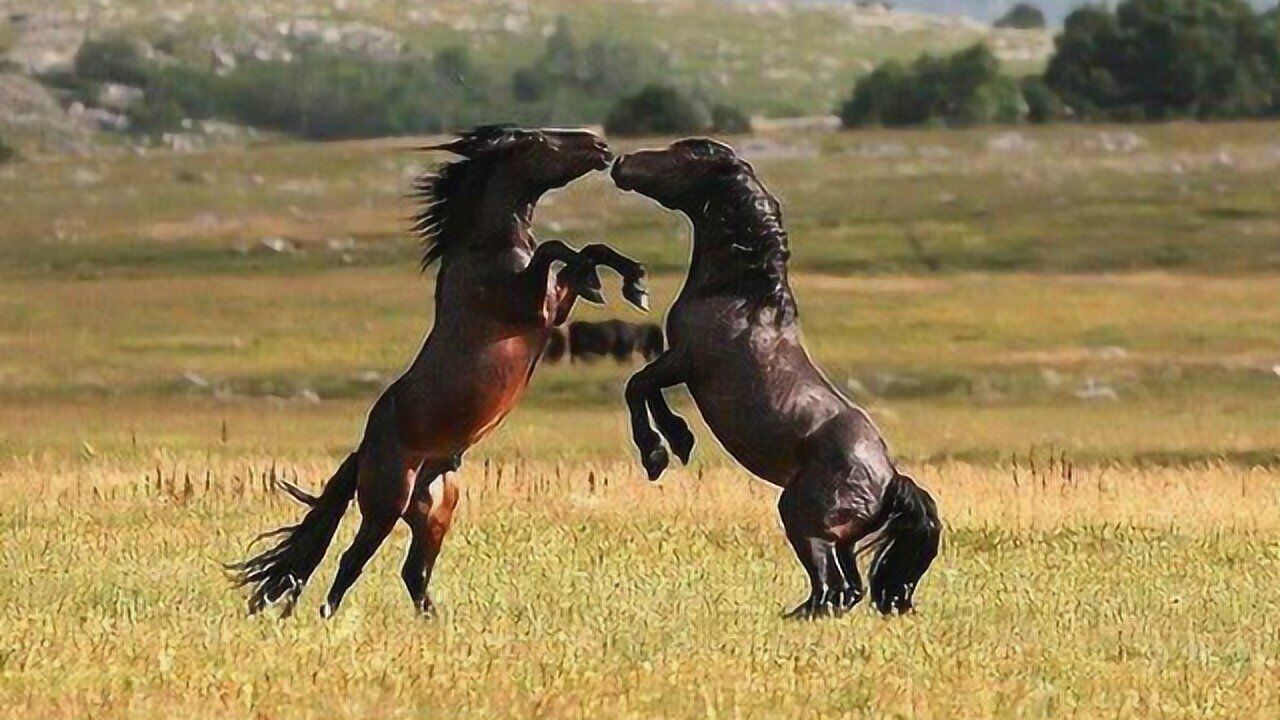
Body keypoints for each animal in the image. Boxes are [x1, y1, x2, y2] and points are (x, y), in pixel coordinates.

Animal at [229, 126, 648, 618]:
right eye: (540, 141)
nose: (600, 147)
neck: (485, 250)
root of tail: (363, 453)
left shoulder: (552, 308)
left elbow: (585, 252)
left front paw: (628, 281)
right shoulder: (531, 305)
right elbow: (557, 249)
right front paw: (611, 281)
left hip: (434, 512)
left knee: (414, 571)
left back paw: (434, 621)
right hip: (386, 503)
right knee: (352, 561)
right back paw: (329, 617)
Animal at [611, 138, 941, 618]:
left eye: (684, 155)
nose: (619, 163)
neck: (740, 295)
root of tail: (889, 480)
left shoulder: (685, 360)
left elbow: (637, 386)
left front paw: (657, 453)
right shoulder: (680, 365)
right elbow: (650, 391)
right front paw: (679, 441)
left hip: (802, 517)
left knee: (831, 586)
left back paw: (798, 615)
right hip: (840, 538)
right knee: (848, 588)